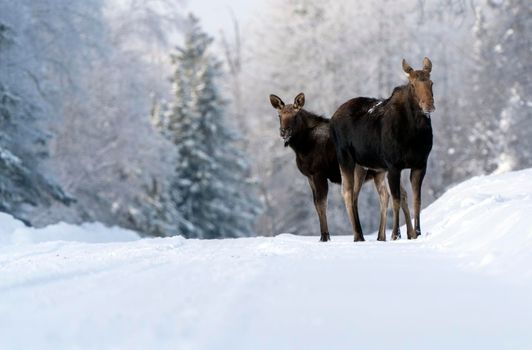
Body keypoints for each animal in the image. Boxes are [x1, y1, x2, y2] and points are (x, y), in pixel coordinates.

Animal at [268, 92, 414, 241]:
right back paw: (402, 234)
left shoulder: (319, 173)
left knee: (386, 195)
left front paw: (325, 237)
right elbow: (316, 204)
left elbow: (322, 203)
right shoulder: (309, 176)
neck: (301, 147)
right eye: (279, 115)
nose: (284, 131)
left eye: (295, 115)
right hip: (382, 170)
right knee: (398, 194)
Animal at [330, 57, 434, 242]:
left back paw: (365, 234)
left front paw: (417, 232)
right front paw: (395, 234)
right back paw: (358, 235)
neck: (414, 134)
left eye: (431, 83)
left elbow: (417, 200)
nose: (429, 105)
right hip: (345, 158)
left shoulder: (420, 164)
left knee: (358, 194)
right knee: (347, 192)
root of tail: (332, 119)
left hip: (364, 166)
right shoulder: (393, 166)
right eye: (412, 85)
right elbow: (397, 199)